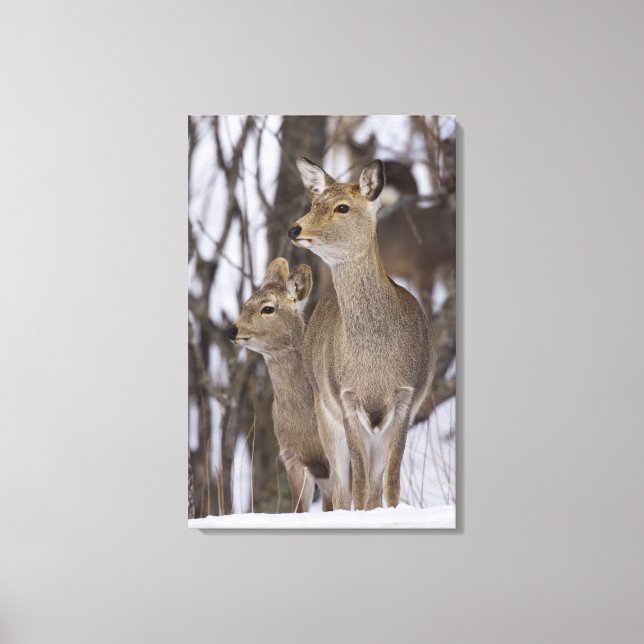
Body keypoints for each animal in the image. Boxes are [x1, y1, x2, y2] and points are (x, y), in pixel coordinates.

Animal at [289, 158, 436, 510]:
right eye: (314, 203)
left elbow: (390, 484)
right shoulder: (346, 399)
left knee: (371, 486)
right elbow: (355, 485)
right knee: (342, 488)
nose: (295, 229)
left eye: (342, 207)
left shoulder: (407, 398)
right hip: (324, 413)